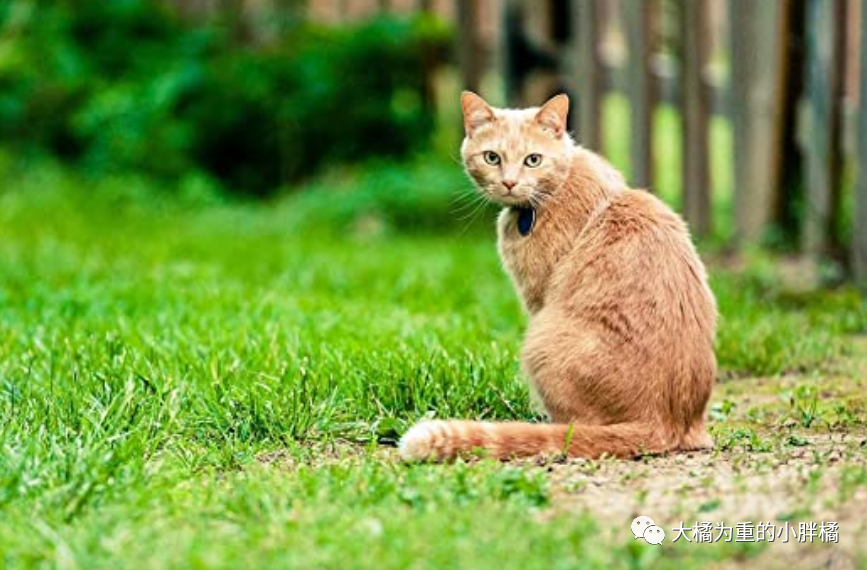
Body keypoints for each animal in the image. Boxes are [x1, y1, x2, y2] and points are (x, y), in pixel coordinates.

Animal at [398, 91, 712, 460]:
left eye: (533, 160)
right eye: (492, 157)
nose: (509, 182)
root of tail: (666, 423)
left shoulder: (537, 297)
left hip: (540, 340)